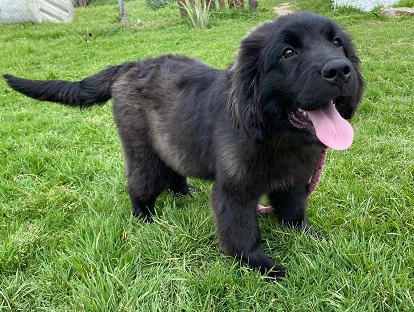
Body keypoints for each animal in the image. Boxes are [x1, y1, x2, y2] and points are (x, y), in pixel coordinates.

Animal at [4, 11, 364, 278]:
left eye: (337, 43)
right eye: (288, 53)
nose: (340, 70)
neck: (275, 135)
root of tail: (129, 66)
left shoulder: (294, 180)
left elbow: (294, 212)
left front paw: (310, 237)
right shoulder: (233, 191)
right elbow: (242, 233)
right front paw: (262, 267)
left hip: (171, 138)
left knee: (173, 167)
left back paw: (184, 192)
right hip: (142, 151)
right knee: (139, 183)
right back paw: (145, 218)